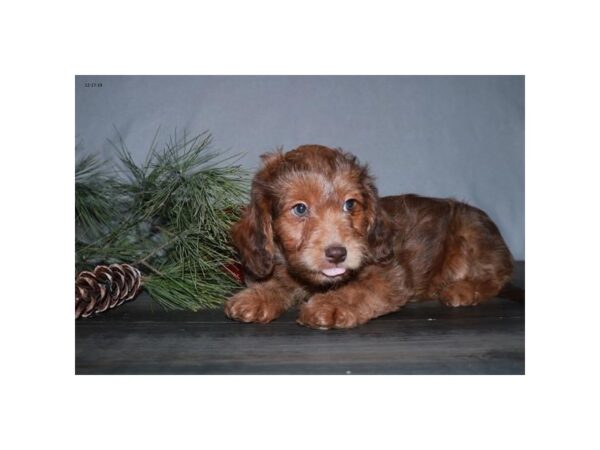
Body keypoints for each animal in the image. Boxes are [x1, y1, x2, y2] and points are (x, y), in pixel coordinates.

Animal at [223, 146, 512, 328]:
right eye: (300, 209)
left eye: (350, 204)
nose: (337, 253)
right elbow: (278, 282)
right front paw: (256, 296)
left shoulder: (389, 274)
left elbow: (358, 290)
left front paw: (331, 305)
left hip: (470, 234)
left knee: (495, 278)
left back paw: (463, 289)